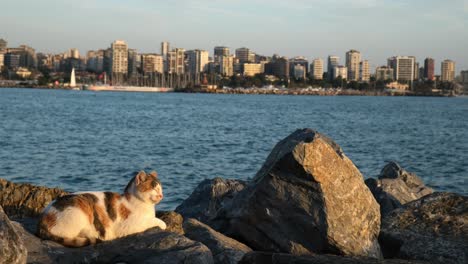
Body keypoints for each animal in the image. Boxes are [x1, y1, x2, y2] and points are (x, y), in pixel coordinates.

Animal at [37, 170, 167, 246]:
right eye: (154, 188)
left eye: (161, 188)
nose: (162, 195)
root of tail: (42, 220)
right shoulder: (130, 225)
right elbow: (155, 221)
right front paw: (163, 224)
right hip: (79, 212)